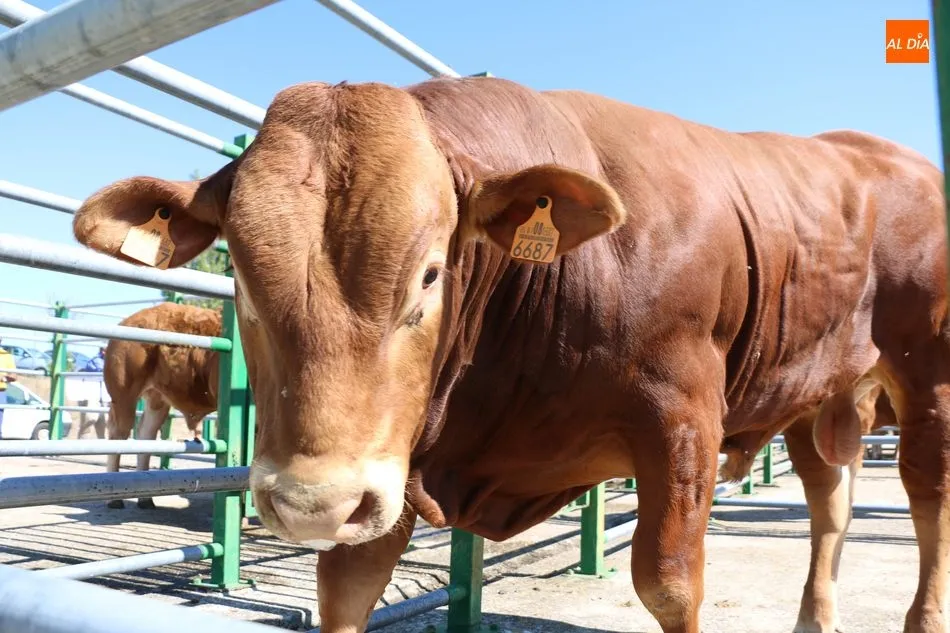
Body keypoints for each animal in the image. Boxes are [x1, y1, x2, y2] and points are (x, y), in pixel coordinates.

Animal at [102, 302, 221, 509]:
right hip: (123, 395)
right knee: (118, 434)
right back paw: (114, 499)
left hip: (157, 400)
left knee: (145, 435)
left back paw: (145, 499)